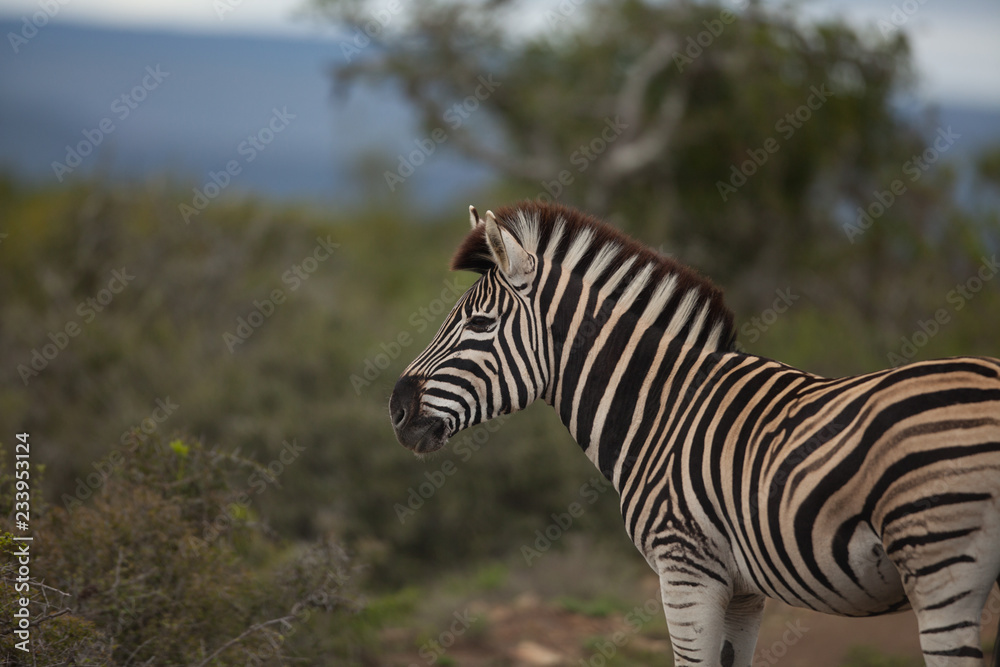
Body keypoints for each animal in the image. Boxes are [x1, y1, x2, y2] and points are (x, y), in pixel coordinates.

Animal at [389, 201, 1000, 666]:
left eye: (480, 324)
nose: (395, 408)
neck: (663, 410)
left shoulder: (686, 570)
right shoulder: (745, 590)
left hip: (939, 564)